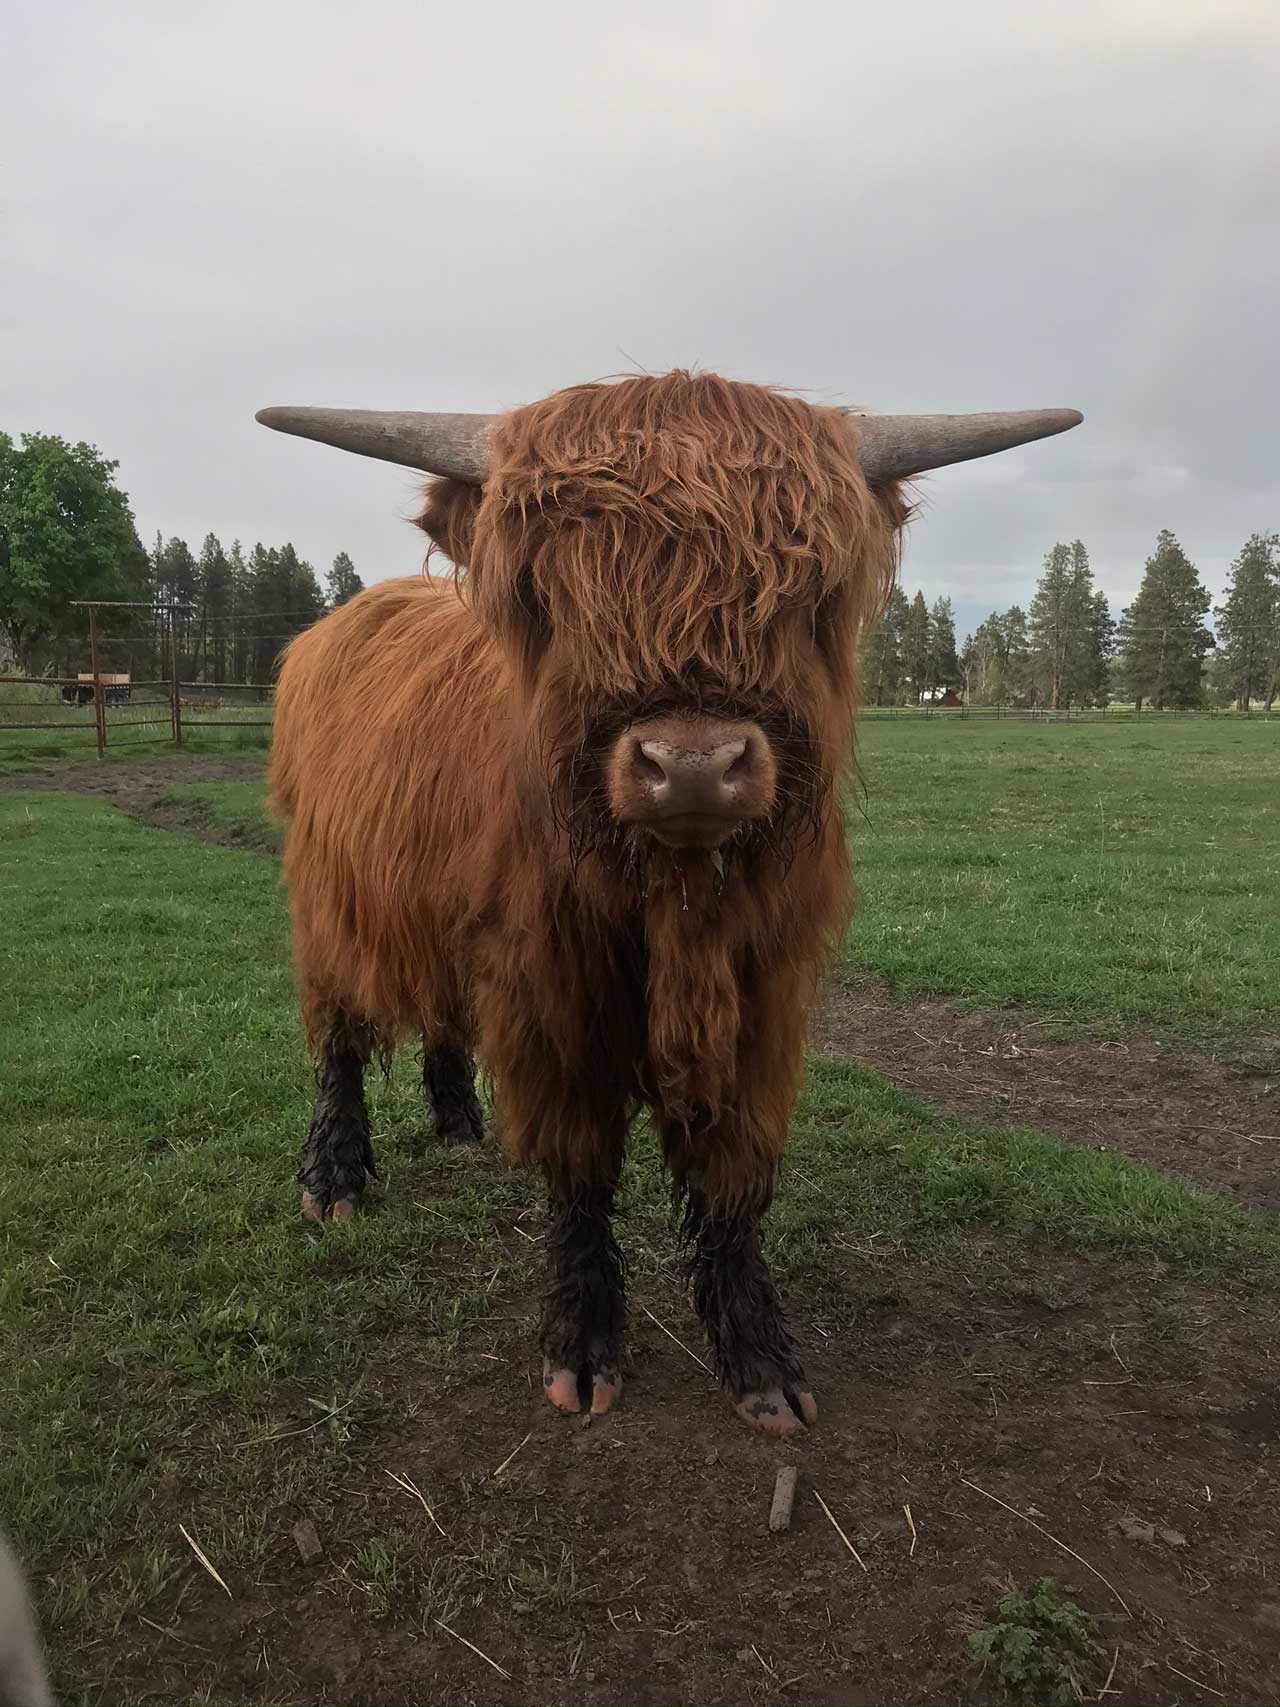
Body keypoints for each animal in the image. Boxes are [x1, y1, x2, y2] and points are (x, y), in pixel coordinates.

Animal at [262, 370, 1085, 1427]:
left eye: (810, 588)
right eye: (549, 590)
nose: (692, 765)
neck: (676, 902)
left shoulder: (761, 993)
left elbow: (734, 1175)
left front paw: (759, 1356)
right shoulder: (554, 990)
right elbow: (578, 1168)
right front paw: (580, 1347)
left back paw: (457, 1120)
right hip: (328, 898)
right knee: (337, 1033)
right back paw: (332, 1176)